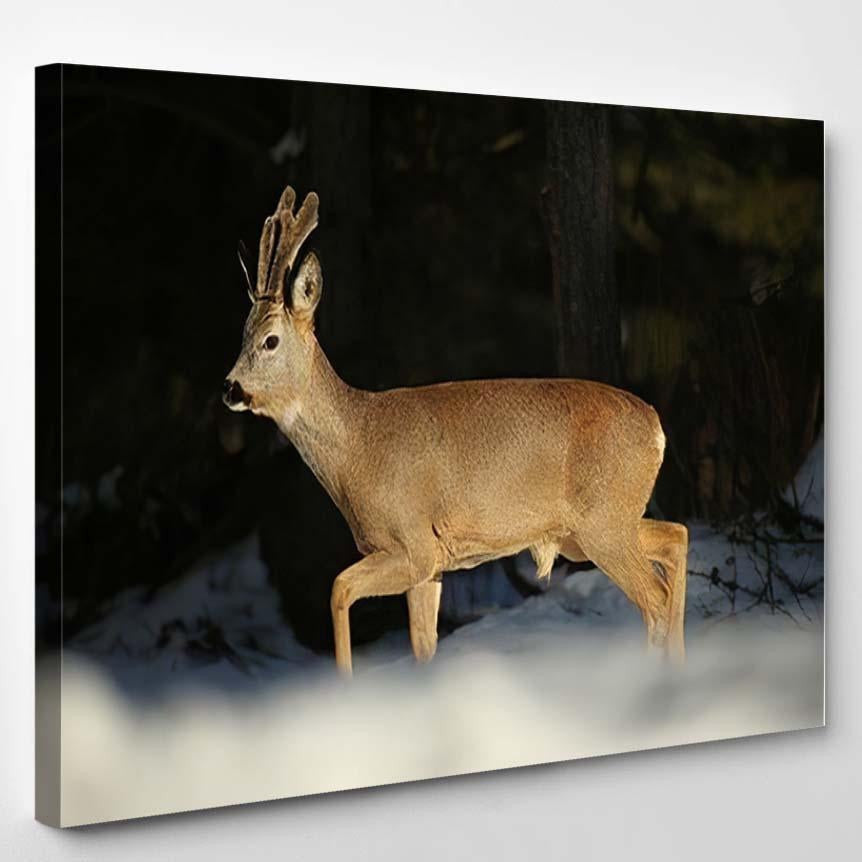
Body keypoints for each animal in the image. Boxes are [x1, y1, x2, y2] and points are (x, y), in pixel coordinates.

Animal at [224, 186, 689, 675]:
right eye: (242, 335)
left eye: (270, 341)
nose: (230, 387)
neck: (358, 446)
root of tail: (656, 427)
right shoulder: (432, 564)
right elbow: (422, 644)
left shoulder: (413, 543)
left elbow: (338, 589)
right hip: (591, 529)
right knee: (676, 538)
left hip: (602, 522)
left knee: (654, 596)